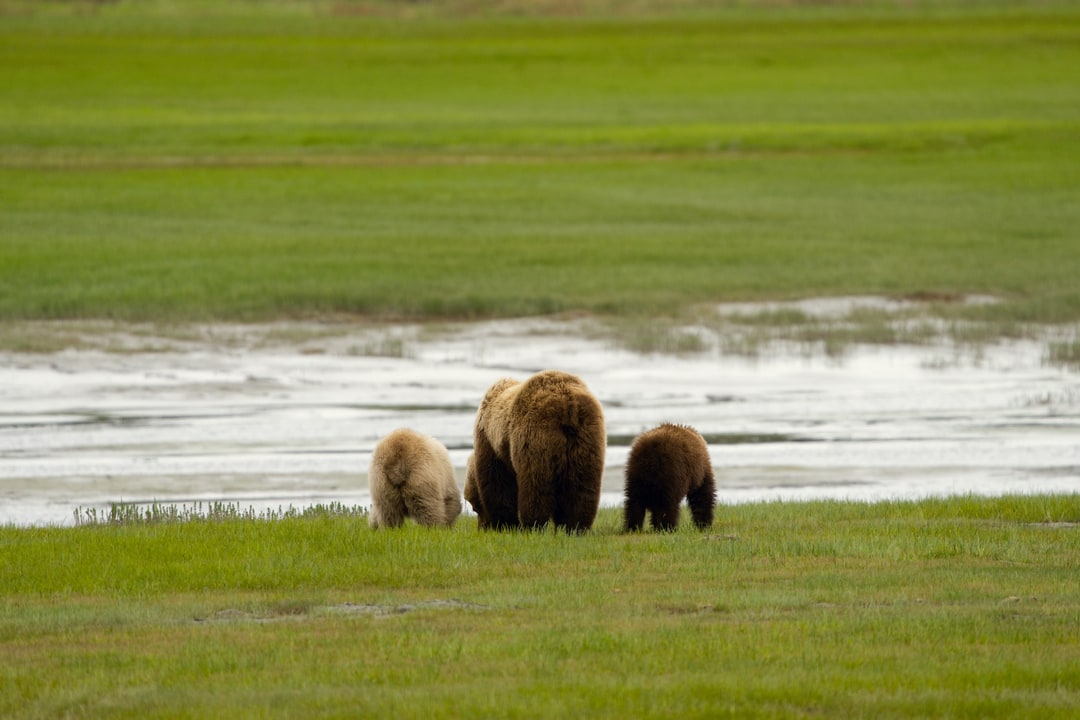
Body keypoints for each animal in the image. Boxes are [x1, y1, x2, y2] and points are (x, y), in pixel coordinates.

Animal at [469, 370, 606, 533]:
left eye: (475, 507)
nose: (481, 527)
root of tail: (568, 403)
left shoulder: (491, 444)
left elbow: (497, 484)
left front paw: (504, 524)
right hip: (587, 436)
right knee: (581, 485)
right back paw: (575, 526)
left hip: (535, 436)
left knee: (536, 486)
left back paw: (533, 525)